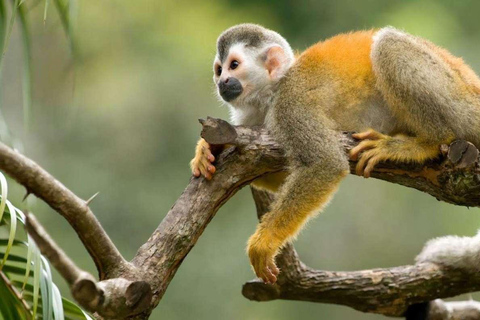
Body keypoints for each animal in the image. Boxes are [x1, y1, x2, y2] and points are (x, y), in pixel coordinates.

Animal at [189, 25, 480, 284]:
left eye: (234, 65)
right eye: (219, 69)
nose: (222, 82)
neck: (273, 91)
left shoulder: (291, 104)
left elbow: (324, 164)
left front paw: (264, 242)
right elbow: (274, 173)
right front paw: (207, 150)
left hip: (461, 104)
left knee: (388, 44)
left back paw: (428, 142)